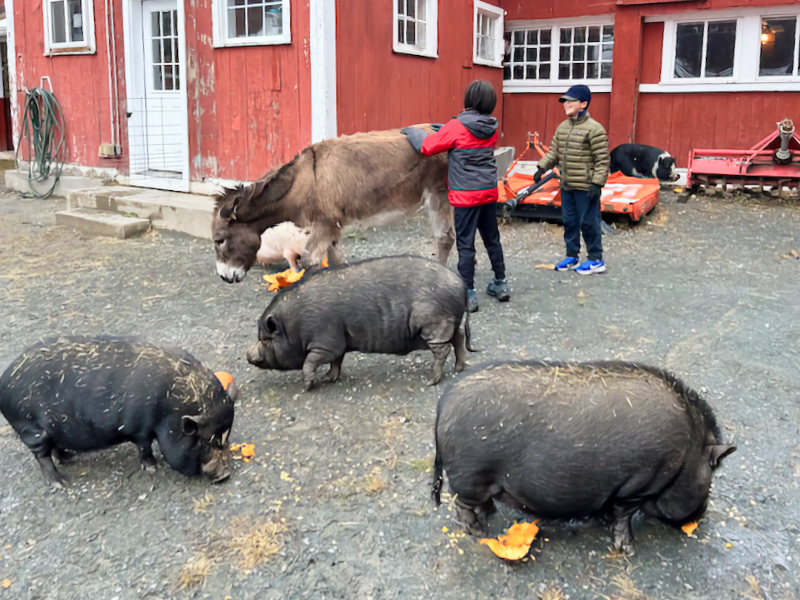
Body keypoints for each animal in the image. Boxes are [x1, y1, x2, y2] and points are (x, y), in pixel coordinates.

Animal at [0, 338, 238, 488]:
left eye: (226, 438)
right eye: (204, 442)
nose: (225, 474)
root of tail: (4, 381)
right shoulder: (139, 428)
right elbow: (144, 447)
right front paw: (152, 468)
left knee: (56, 446)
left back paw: (70, 457)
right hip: (30, 429)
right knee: (42, 456)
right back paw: (60, 483)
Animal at [248, 255, 476, 392]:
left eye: (266, 339)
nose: (248, 355)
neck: (293, 325)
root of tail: (460, 284)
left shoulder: (326, 342)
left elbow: (311, 361)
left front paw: (310, 386)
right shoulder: (338, 342)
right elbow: (336, 361)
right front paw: (329, 379)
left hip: (433, 323)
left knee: (443, 349)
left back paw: (430, 380)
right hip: (447, 323)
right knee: (458, 337)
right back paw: (458, 368)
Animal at [434, 360, 736, 552]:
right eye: (710, 478)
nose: (703, 514)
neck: (687, 452)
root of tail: (444, 401)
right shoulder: (640, 482)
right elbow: (624, 514)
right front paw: (628, 549)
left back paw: (490, 514)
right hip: (471, 475)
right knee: (460, 502)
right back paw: (478, 531)